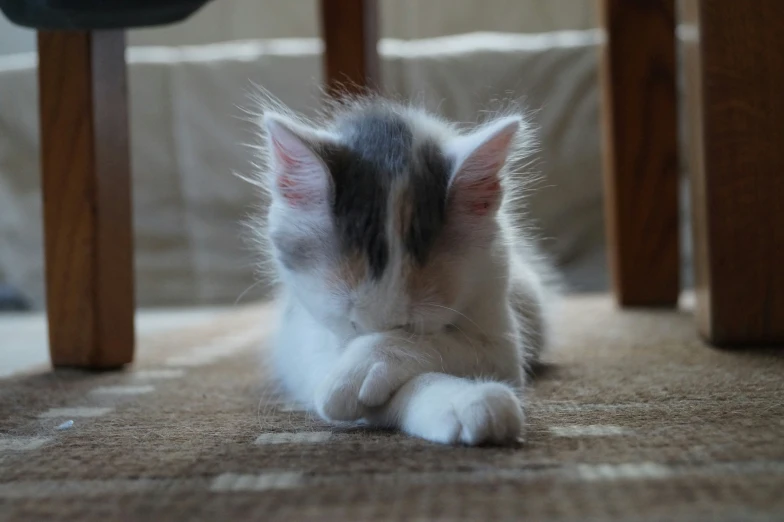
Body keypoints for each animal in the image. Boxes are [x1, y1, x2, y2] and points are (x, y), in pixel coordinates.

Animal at [254, 94, 556, 442]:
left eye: (410, 327)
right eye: (351, 324)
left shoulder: (498, 319)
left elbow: (446, 343)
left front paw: (367, 364)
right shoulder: (305, 340)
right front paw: (466, 399)